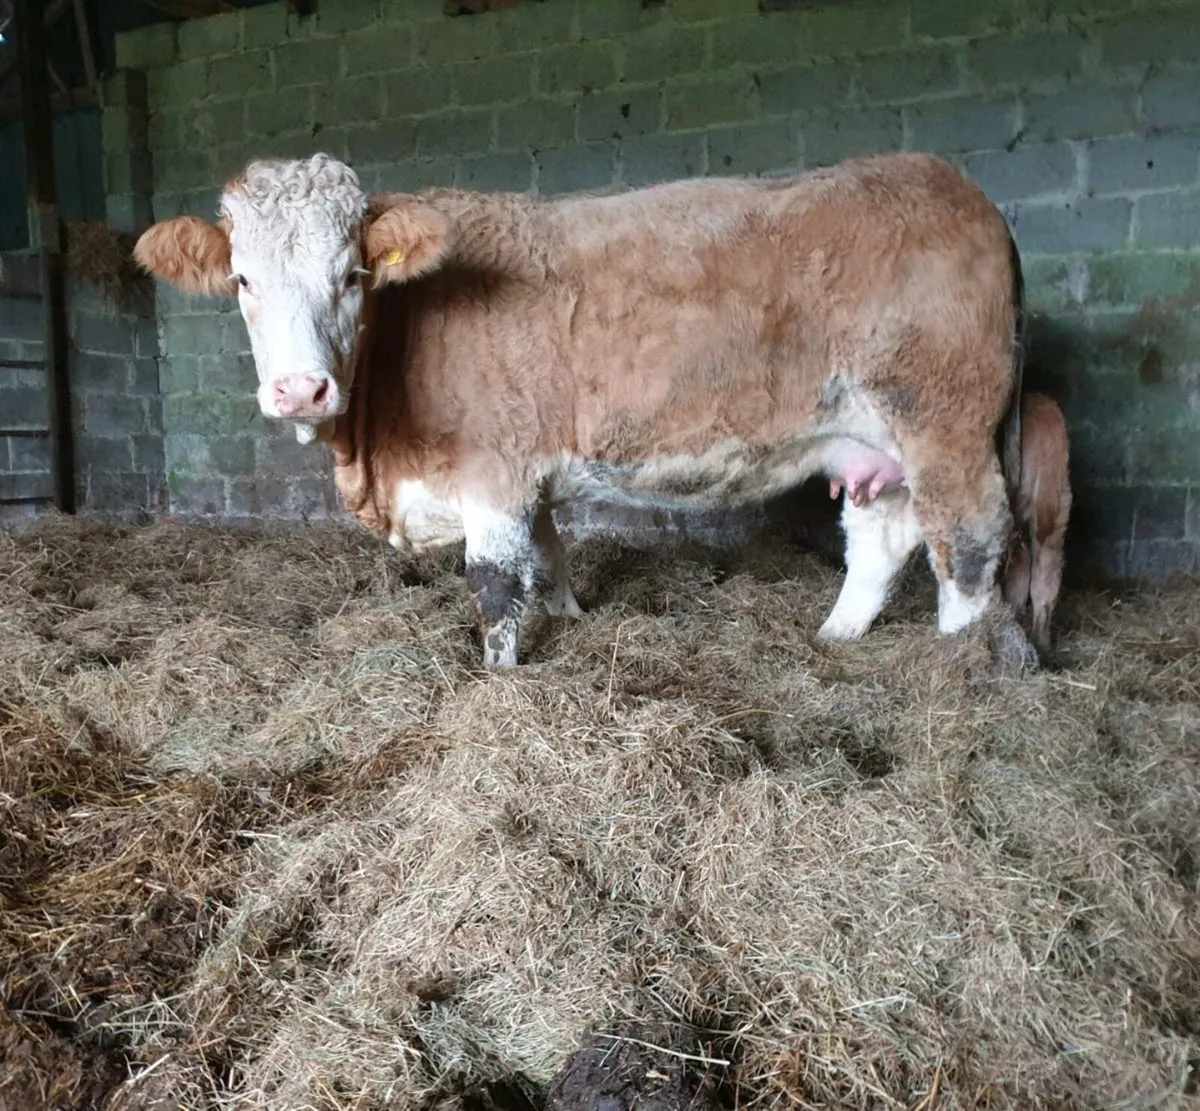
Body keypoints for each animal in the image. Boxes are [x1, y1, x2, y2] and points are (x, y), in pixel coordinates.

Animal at [133, 151, 1032, 670]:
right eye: (242, 278)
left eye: (352, 274)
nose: (300, 389)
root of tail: (948, 182)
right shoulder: (527, 474)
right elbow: (549, 558)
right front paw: (570, 615)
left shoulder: (492, 469)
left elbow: (497, 585)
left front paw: (500, 683)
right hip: (870, 438)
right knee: (886, 536)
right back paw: (836, 638)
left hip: (946, 419)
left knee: (970, 541)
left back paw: (959, 661)